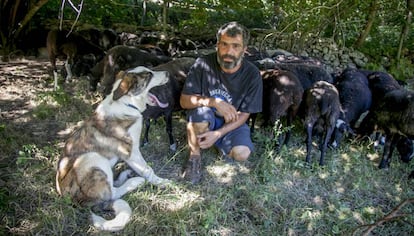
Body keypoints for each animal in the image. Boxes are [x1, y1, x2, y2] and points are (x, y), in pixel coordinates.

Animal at [56, 66, 170, 230]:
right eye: (149, 75)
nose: (168, 73)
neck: (126, 103)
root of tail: (74, 202)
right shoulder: (131, 152)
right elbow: (148, 169)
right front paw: (162, 182)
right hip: (92, 158)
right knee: (112, 193)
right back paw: (135, 181)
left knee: (112, 184)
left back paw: (125, 175)